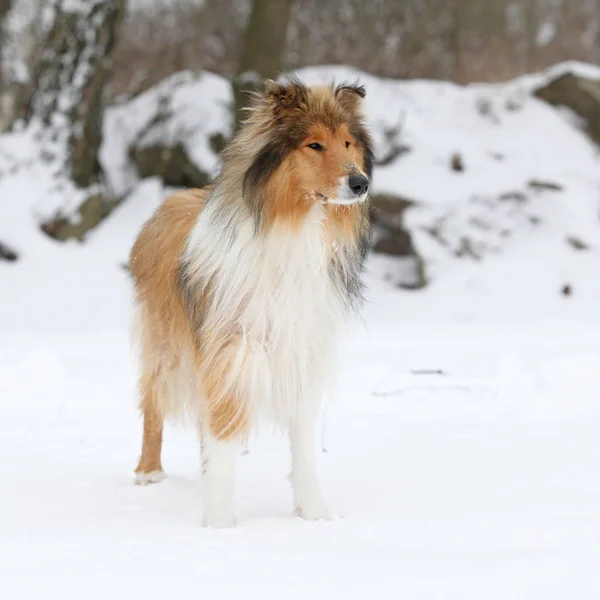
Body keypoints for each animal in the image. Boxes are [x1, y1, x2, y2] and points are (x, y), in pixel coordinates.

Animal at [131, 76, 372, 524]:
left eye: (347, 142)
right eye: (314, 144)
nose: (360, 183)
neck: (293, 226)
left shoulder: (300, 352)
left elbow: (303, 446)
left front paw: (314, 514)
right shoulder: (232, 350)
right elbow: (224, 432)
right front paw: (220, 521)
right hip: (168, 346)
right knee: (153, 403)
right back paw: (148, 473)